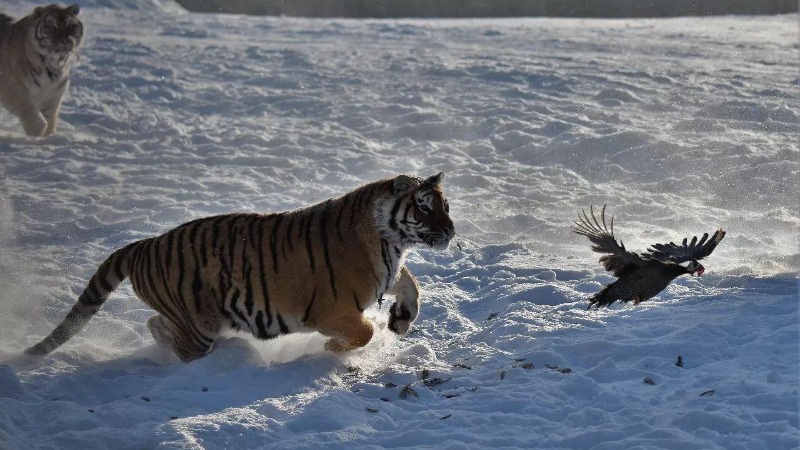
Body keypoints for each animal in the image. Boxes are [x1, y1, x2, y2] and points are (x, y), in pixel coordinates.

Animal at [0, 3, 83, 136]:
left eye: (70, 27)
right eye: (52, 27)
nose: (66, 41)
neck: (54, 65)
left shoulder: (53, 94)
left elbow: (51, 117)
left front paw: (50, 135)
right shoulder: (11, 86)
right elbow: (27, 107)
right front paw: (37, 130)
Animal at [25, 172, 456, 362]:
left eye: (445, 205)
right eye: (423, 207)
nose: (451, 230)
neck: (390, 242)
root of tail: (143, 244)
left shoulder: (390, 272)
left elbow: (411, 285)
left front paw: (400, 321)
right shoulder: (330, 310)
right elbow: (363, 331)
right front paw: (333, 349)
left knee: (156, 325)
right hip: (198, 323)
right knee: (181, 346)